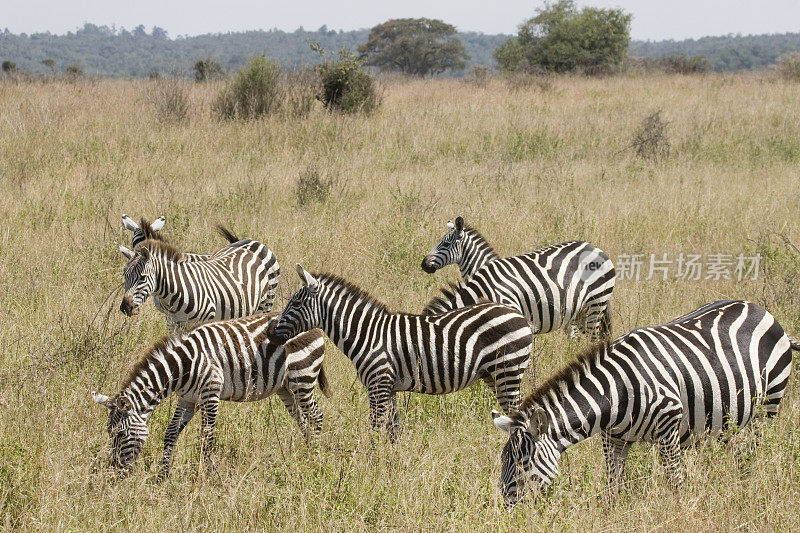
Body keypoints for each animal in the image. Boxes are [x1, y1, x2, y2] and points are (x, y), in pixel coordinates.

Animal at [92, 312, 330, 478]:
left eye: (120, 434)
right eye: (109, 434)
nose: (116, 473)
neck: (183, 366)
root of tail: (315, 327)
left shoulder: (210, 393)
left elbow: (207, 437)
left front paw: (206, 476)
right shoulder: (187, 399)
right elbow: (171, 433)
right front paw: (162, 475)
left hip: (302, 378)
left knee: (316, 417)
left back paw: (315, 459)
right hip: (285, 388)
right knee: (303, 420)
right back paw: (307, 453)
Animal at [266, 264, 536, 438]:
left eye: (295, 303)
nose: (270, 334)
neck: (367, 334)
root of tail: (518, 314)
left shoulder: (378, 384)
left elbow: (375, 429)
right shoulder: (390, 388)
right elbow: (393, 431)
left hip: (508, 371)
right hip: (493, 375)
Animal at [490, 300, 796, 502]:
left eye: (522, 462)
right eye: (504, 460)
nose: (507, 510)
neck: (614, 394)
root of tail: (761, 309)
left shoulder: (668, 430)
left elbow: (675, 482)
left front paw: (678, 512)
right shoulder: (613, 440)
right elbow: (613, 486)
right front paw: (611, 517)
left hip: (767, 406)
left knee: (755, 449)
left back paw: (749, 485)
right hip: (728, 412)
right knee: (738, 450)